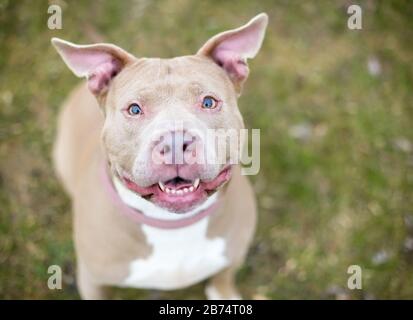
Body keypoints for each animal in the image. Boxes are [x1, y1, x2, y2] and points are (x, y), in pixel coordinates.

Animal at [50, 11, 268, 298]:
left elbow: (223, 276)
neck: (171, 226)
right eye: (134, 109)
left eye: (209, 102)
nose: (175, 143)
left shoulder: (233, 252)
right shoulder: (93, 280)